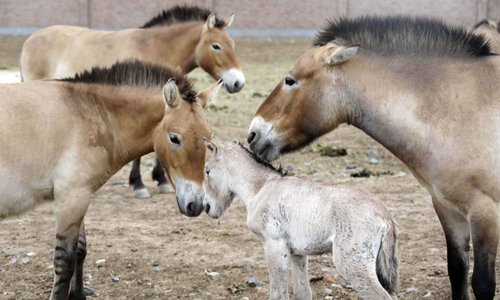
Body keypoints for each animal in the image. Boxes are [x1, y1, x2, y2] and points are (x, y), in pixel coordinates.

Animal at [0, 59, 219, 298]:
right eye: (174, 138)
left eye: (209, 138)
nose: (196, 205)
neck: (88, 115)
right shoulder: (71, 199)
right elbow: (64, 261)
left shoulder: (80, 198)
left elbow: (80, 250)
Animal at [20, 5, 245, 198]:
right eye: (216, 46)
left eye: (233, 45)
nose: (238, 82)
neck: (154, 48)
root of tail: (30, 40)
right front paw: (139, 184)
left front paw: (160, 180)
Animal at [250, 15, 500, 300]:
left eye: (290, 80)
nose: (253, 134)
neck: (459, 110)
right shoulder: (448, 209)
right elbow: (457, 272)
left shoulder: (485, 212)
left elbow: (482, 283)